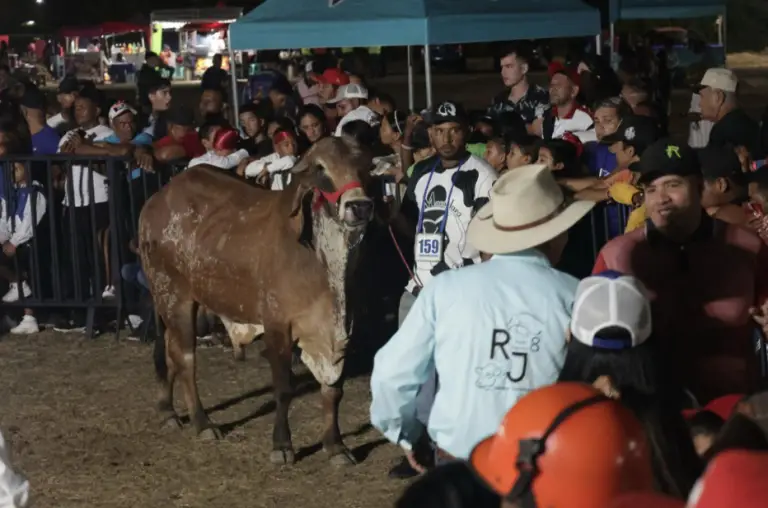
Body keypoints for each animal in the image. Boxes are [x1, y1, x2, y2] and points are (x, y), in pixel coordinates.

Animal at [142, 137, 376, 466]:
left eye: (364, 166)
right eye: (321, 169)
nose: (360, 205)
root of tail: (155, 202)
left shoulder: (342, 329)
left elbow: (333, 390)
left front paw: (336, 446)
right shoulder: (278, 326)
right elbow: (283, 389)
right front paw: (282, 445)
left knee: (170, 352)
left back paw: (168, 411)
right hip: (173, 298)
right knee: (185, 359)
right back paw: (202, 422)